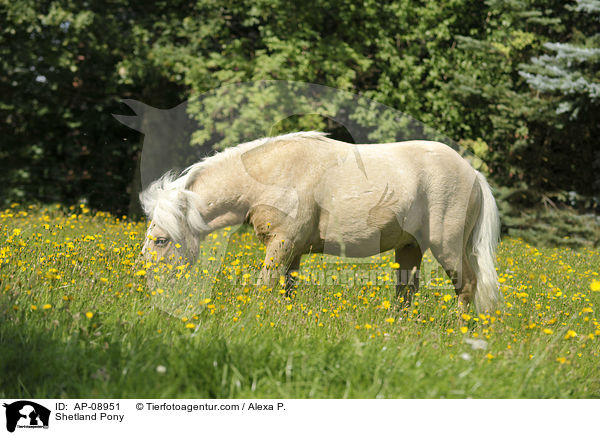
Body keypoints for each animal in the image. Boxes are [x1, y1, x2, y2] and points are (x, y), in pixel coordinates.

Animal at [141, 132, 502, 314]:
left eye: (161, 240)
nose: (148, 287)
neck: (269, 174)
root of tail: (473, 173)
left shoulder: (282, 244)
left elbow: (264, 285)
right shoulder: (292, 251)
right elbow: (286, 289)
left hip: (447, 247)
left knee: (467, 285)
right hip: (410, 249)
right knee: (405, 293)